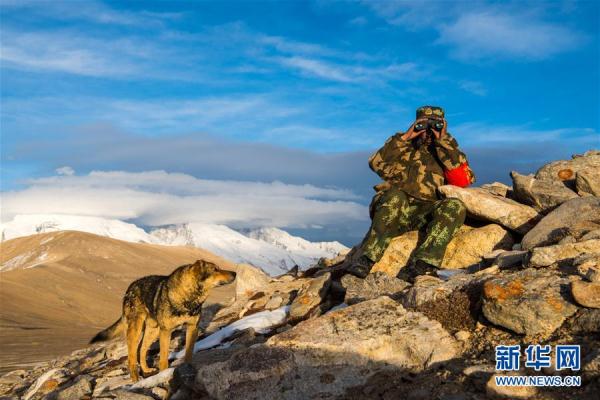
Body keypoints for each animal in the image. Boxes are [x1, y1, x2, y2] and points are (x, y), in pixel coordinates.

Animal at [90, 260, 236, 382]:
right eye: (215, 269)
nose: (235, 273)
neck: (188, 297)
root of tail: (129, 288)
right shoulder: (166, 331)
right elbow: (164, 358)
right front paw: (164, 375)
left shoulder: (192, 327)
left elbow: (189, 351)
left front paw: (187, 368)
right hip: (136, 330)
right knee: (131, 357)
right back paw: (135, 380)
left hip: (153, 331)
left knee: (142, 349)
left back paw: (147, 370)